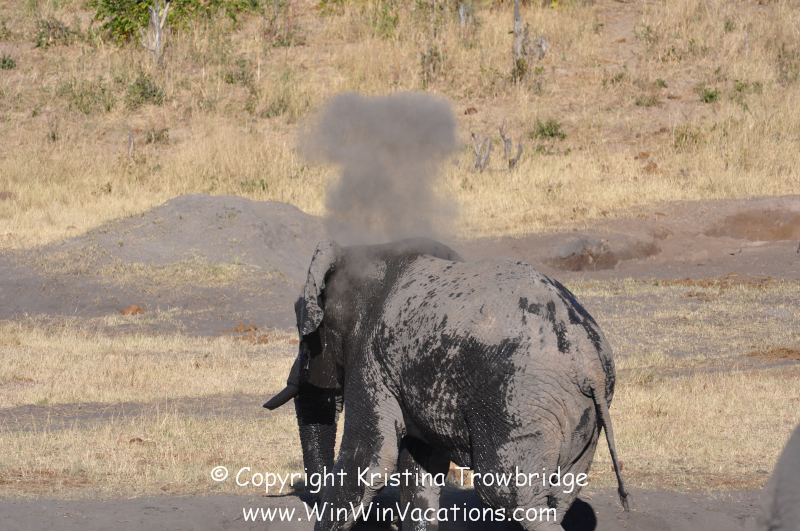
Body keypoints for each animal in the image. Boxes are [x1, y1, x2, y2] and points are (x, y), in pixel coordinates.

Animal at [265, 238, 629, 531]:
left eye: (305, 335)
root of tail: (590, 364)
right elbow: (422, 467)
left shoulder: (370, 358)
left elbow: (368, 460)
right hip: (579, 414)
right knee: (557, 496)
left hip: (520, 403)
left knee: (509, 495)